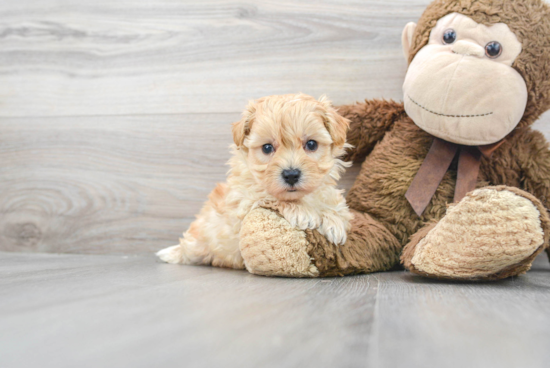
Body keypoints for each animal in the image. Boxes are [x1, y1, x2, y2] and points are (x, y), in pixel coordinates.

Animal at [155, 93, 354, 268]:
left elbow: (336, 206)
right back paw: (171, 253)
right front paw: (302, 212)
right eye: (267, 148)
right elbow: (271, 197)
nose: (291, 174)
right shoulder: (245, 200)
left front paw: (334, 222)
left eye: (311, 144)